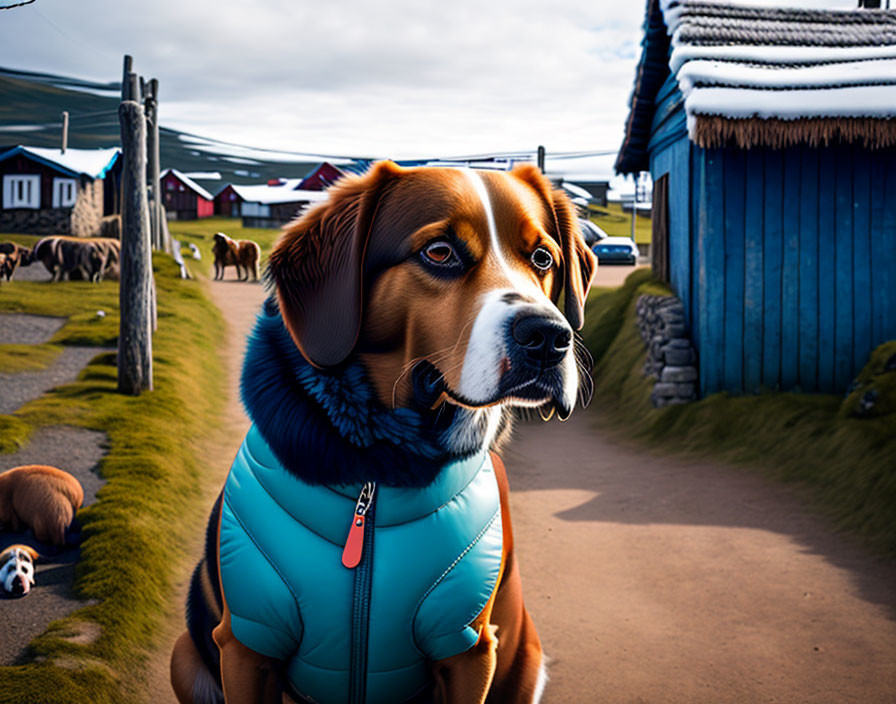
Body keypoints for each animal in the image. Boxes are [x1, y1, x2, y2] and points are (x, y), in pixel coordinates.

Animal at [172, 162, 600, 700]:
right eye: (439, 252)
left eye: (543, 257)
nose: (548, 337)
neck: (378, 467)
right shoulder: (249, 644)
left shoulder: (468, 650)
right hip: (184, 656)